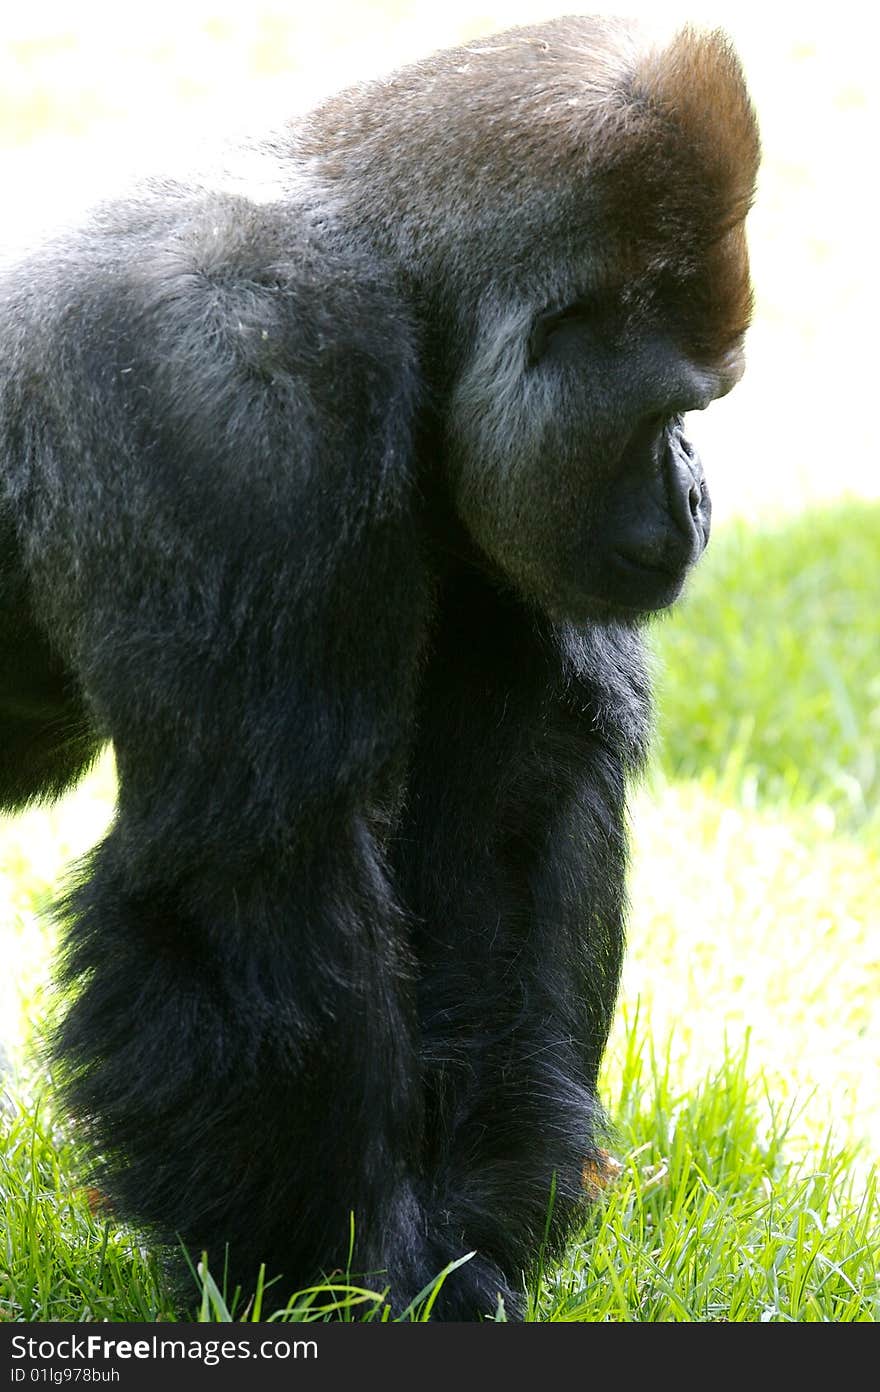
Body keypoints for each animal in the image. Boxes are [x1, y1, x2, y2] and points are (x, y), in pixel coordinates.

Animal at [0, 13, 757, 1314]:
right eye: (673, 411)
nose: (696, 493)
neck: (376, 253)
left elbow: (497, 825)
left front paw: (466, 1234)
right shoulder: (233, 392)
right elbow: (255, 871)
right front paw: (342, 1274)